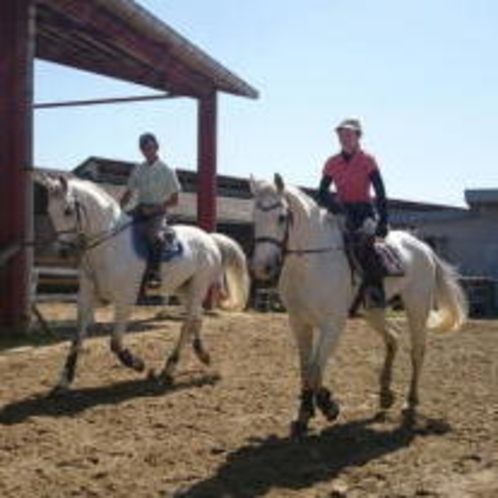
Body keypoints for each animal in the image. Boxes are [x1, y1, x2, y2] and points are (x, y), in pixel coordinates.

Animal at [39, 176, 249, 392]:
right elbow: (76, 339)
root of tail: (209, 238)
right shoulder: (87, 297)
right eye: (49, 211)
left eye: (67, 211)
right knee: (196, 320)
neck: (108, 246)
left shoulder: (125, 299)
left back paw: (168, 370)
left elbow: (115, 342)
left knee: (187, 325)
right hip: (183, 289)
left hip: (198, 287)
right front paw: (63, 381)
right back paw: (202, 355)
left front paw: (138, 364)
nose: (62, 252)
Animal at [251, 175, 468, 436]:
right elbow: (306, 369)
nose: (262, 267)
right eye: (254, 216)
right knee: (393, 338)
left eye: (282, 217)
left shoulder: (333, 325)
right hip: (373, 311)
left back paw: (410, 402)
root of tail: (423, 247)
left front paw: (328, 406)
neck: (312, 262)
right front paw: (304, 414)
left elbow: (315, 370)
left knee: (417, 351)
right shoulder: (299, 323)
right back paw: (385, 395)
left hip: (417, 306)